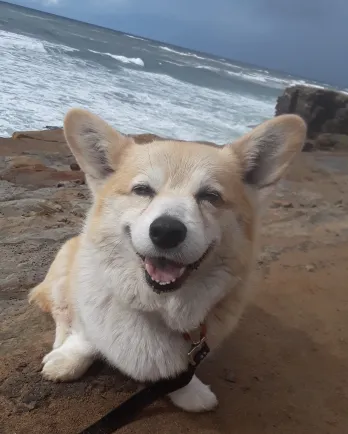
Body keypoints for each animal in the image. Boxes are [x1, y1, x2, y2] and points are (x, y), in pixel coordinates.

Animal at [29, 108, 306, 410]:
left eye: (210, 196)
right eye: (142, 190)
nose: (166, 231)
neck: (158, 306)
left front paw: (190, 391)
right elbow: (85, 335)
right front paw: (68, 359)